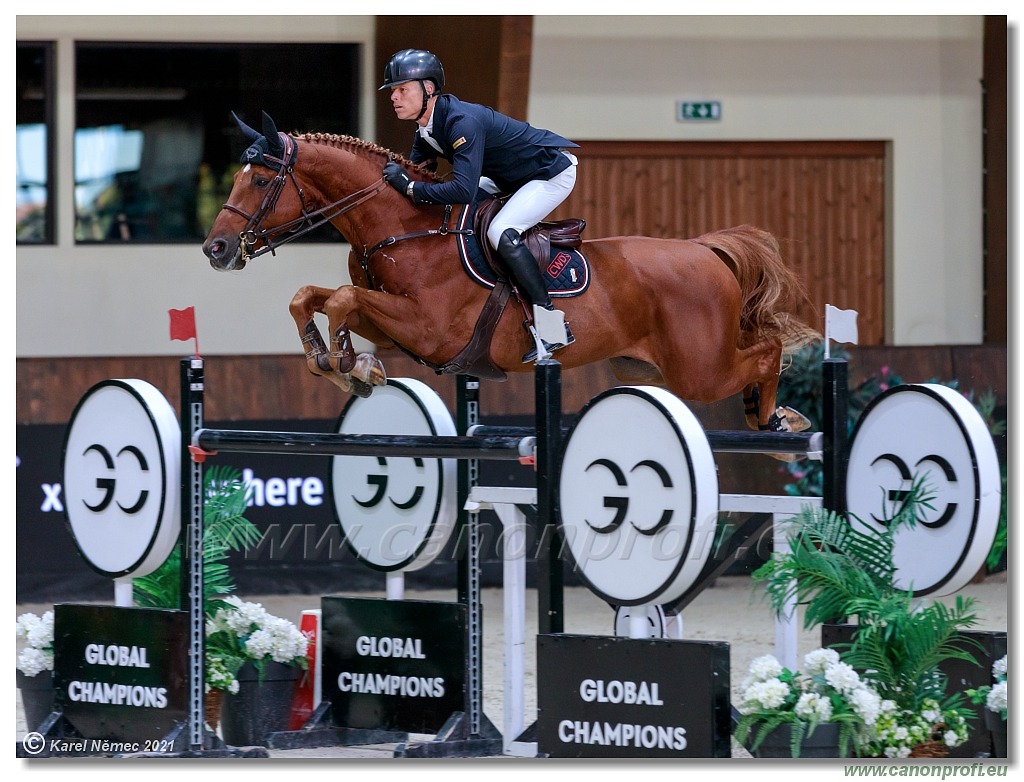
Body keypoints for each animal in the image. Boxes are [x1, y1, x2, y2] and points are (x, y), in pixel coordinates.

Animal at [203, 111, 819, 433]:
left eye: (262, 181)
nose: (216, 248)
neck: (402, 225)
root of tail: (704, 250)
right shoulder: (399, 327)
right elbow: (312, 296)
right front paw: (339, 363)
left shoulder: (429, 328)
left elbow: (341, 300)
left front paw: (348, 365)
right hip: (653, 367)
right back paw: (770, 415)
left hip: (699, 369)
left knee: (765, 351)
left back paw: (777, 418)